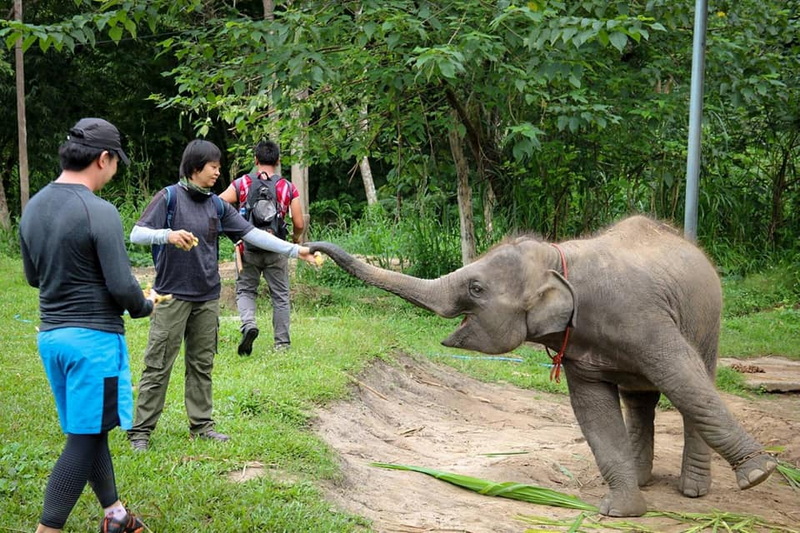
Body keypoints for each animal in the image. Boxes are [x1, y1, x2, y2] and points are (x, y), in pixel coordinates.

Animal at [310, 215, 780, 516]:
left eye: (476, 288)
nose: (312, 246)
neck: (559, 257)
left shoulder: (642, 318)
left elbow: (684, 381)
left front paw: (761, 474)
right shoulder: (579, 346)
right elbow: (593, 410)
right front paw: (620, 510)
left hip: (708, 320)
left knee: (694, 383)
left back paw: (695, 492)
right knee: (640, 399)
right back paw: (643, 478)